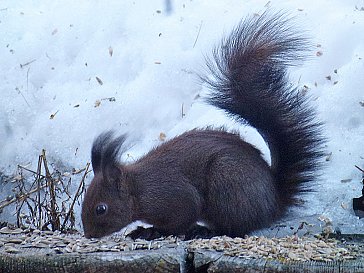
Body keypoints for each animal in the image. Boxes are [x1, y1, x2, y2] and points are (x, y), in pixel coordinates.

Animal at [82, 12, 324, 238]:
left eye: (101, 208)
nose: (89, 235)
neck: (138, 189)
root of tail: (273, 204)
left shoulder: (173, 196)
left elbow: (181, 219)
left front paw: (151, 231)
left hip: (227, 183)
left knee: (235, 229)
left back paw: (206, 231)